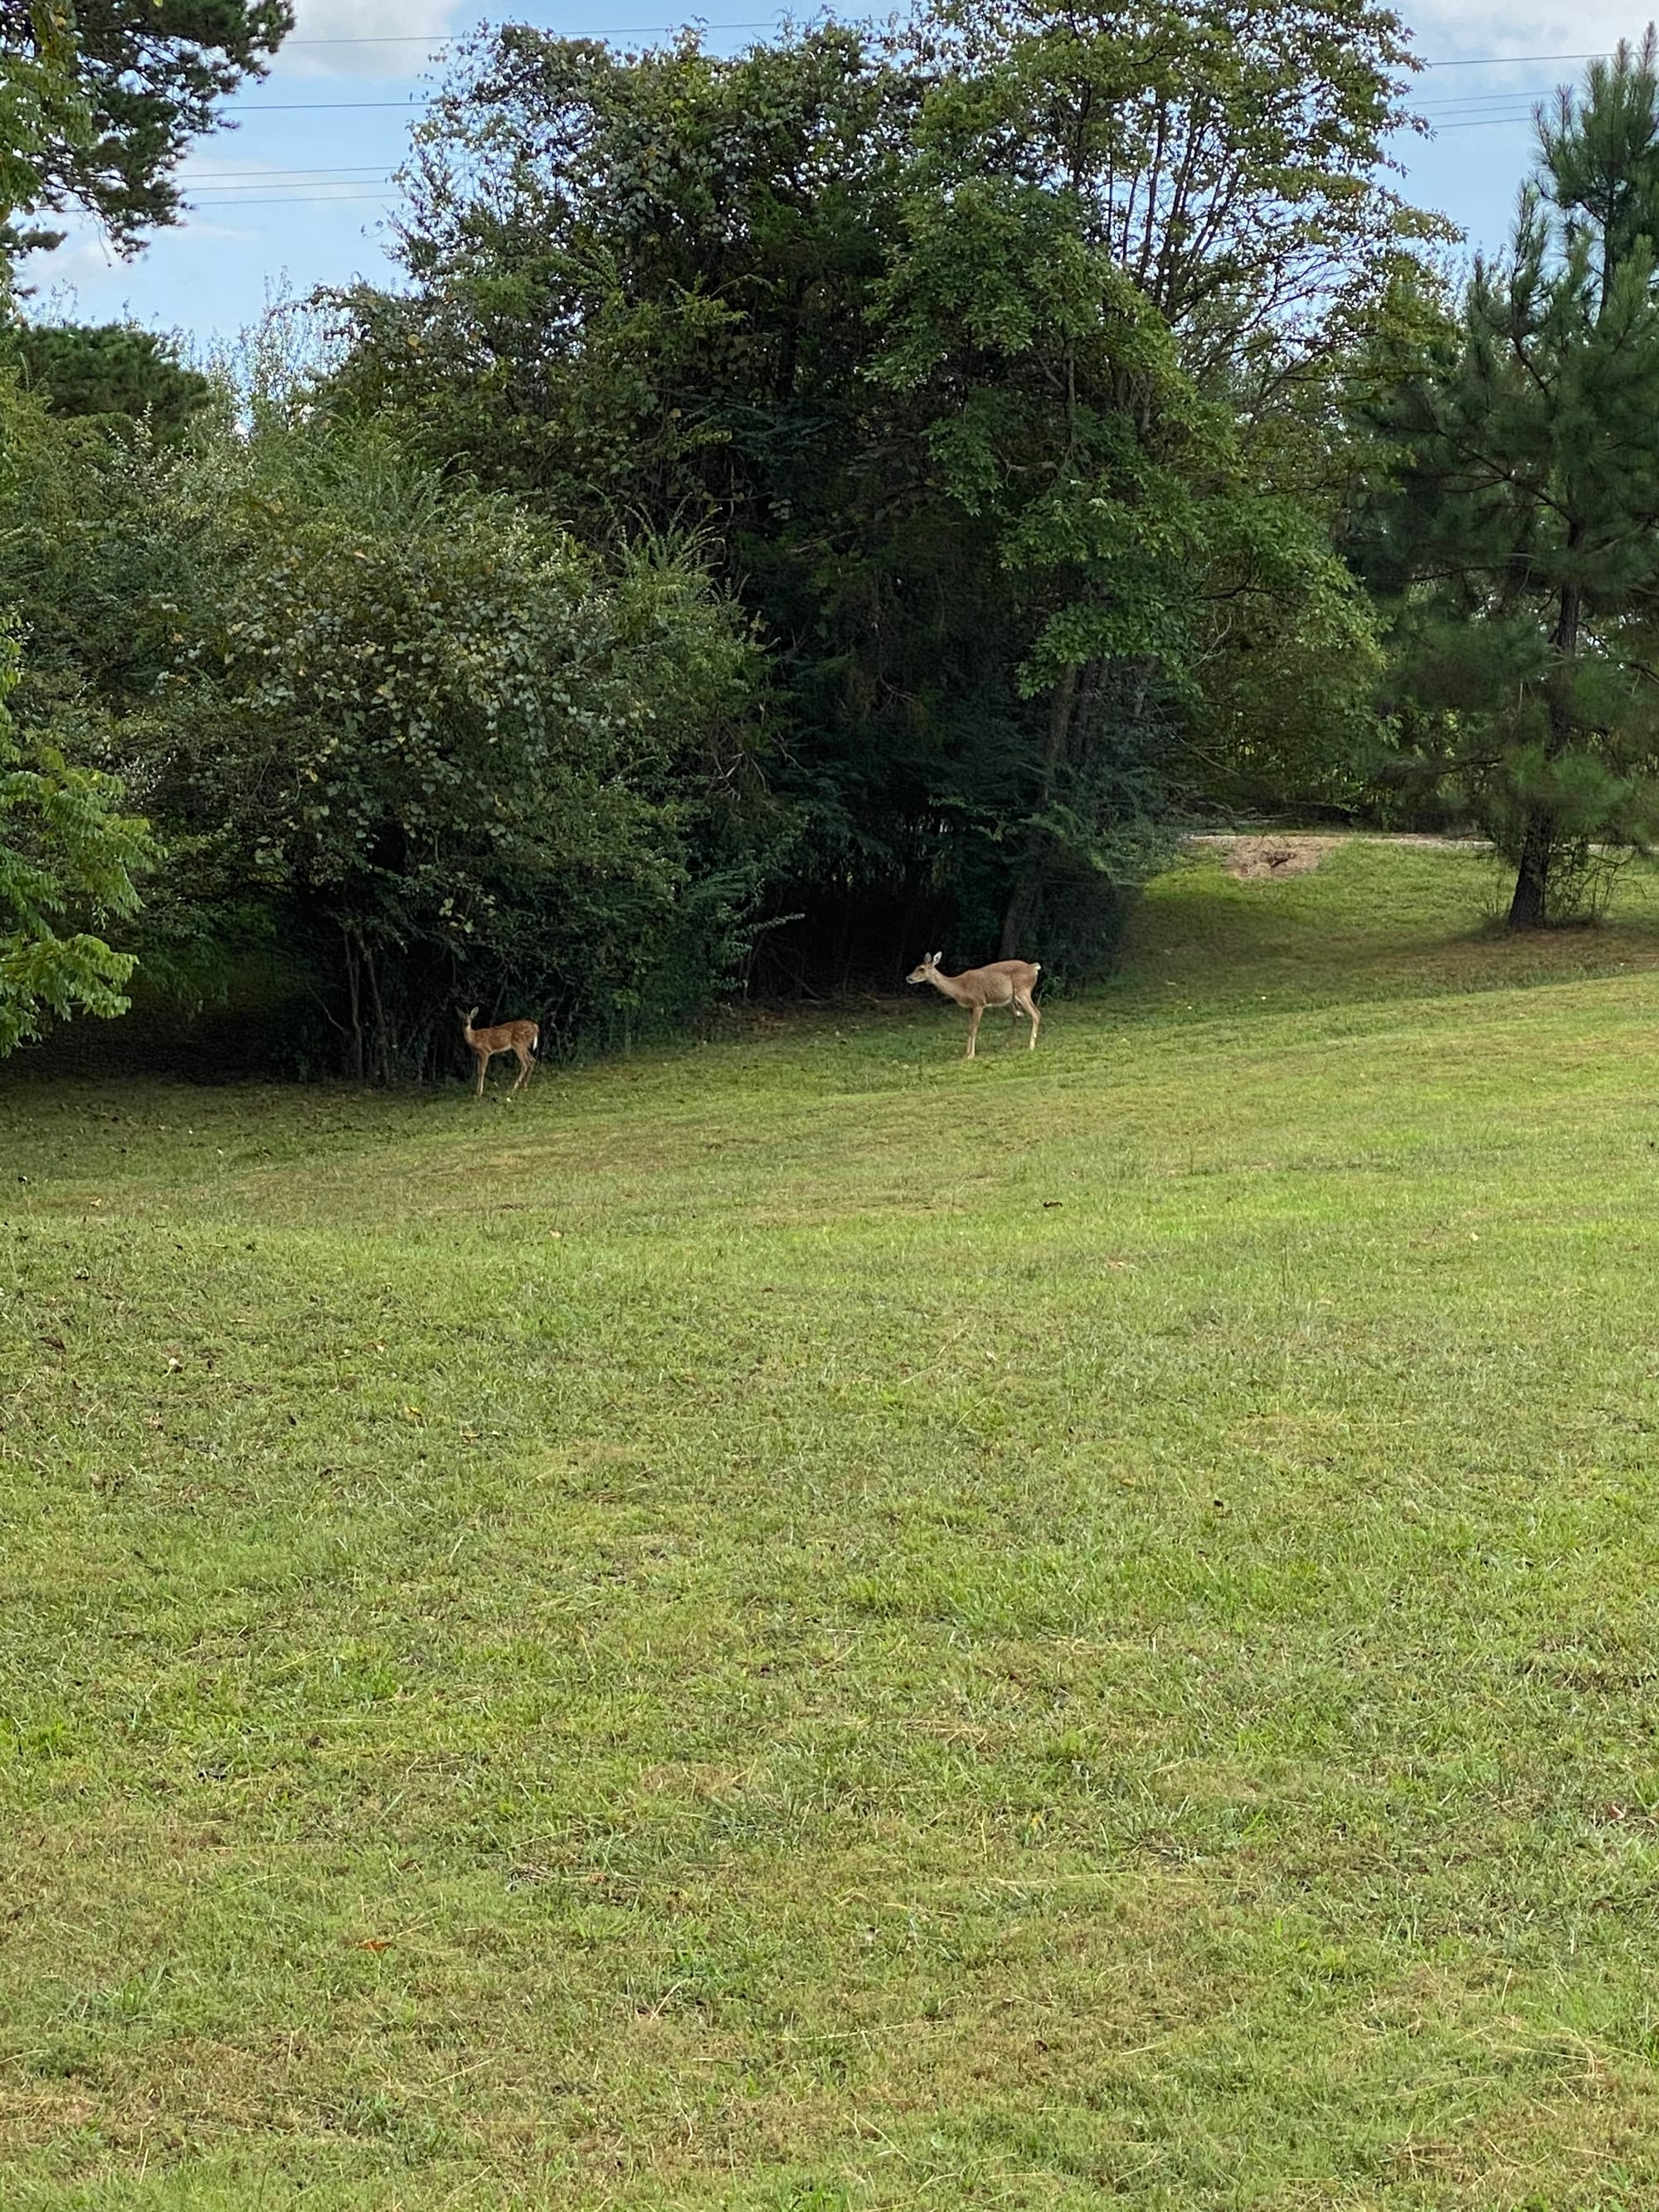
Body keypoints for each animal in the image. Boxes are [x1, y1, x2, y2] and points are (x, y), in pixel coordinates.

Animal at [911, 946, 1039, 1057]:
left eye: (921, 969)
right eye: (916, 967)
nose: (909, 978)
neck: (960, 988)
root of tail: (1033, 967)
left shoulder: (979, 1003)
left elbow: (974, 1029)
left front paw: (971, 1055)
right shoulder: (969, 1007)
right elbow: (969, 1028)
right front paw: (965, 1054)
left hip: (1023, 991)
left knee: (1036, 1014)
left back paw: (1031, 1047)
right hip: (1008, 1000)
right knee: (1018, 1016)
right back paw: (1005, 1045)